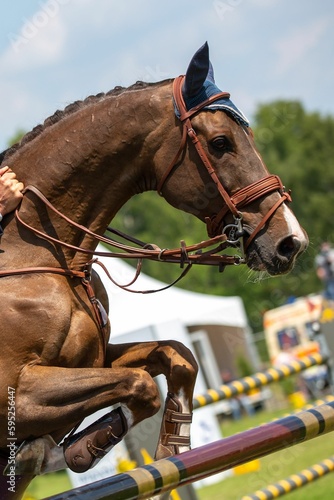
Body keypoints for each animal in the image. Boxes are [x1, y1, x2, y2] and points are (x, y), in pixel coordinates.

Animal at [0, 44, 308, 500]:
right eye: (220, 143)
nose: (291, 241)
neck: (35, 253)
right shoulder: (18, 388)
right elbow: (140, 384)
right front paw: (71, 451)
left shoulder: (96, 359)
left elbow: (174, 357)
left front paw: (172, 445)